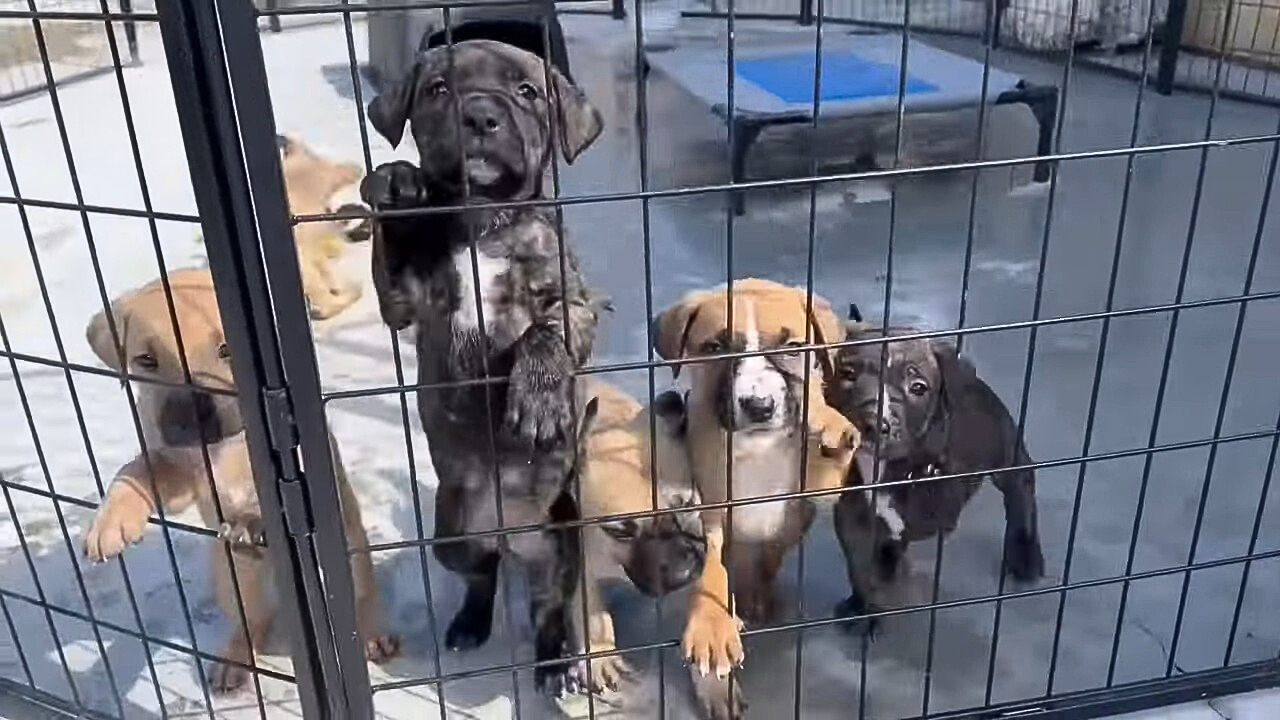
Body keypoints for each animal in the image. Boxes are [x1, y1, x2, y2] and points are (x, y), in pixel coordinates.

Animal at [78, 267, 394, 691]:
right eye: (146, 360)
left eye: (228, 351)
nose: (192, 415)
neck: (222, 450)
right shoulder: (175, 468)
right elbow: (135, 470)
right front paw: (109, 523)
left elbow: (277, 497)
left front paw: (250, 521)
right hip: (230, 580)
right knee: (253, 620)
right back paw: (235, 659)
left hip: (352, 551)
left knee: (361, 595)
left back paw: (373, 634)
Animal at [355, 37, 604, 691]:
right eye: (438, 89)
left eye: (528, 92)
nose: (481, 117)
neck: (484, 221)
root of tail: (509, 536)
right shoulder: (402, 300)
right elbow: (393, 252)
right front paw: (398, 185)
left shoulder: (575, 302)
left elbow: (547, 331)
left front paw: (537, 396)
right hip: (452, 536)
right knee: (481, 573)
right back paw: (470, 622)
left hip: (559, 542)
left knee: (548, 603)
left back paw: (554, 661)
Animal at [655, 279, 865, 717]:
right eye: (714, 347)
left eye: (794, 346)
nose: (759, 406)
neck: (757, 447)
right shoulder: (709, 510)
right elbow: (712, 569)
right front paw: (713, 626)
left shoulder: (812, 491)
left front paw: (828, 420)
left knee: (769, 557)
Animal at [824, 325, 1044, 632]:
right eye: (848, 374)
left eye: (918, 387)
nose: (872, 424)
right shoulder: (852, 515)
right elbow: (859, 565)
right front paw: (863, 605)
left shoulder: (934, 509)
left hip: (1005, 448)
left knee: (1021, 488)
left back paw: (1026, 554)